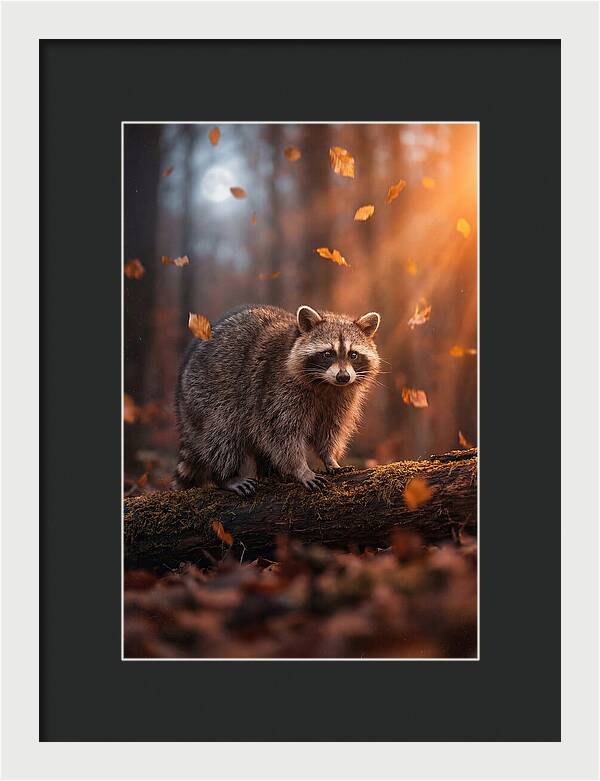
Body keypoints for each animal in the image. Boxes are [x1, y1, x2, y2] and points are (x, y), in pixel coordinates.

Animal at [174, 304, 381, 495]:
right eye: (328, 354)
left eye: (353, 355)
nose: (343, 377)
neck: (327, 385)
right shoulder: (276, 390)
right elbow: (282, 434)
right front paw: (301, 469)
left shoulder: (340, 399)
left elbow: (330, 429)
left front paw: (330, 458)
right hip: (207, 394)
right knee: (222, 434)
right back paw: (225, 476)